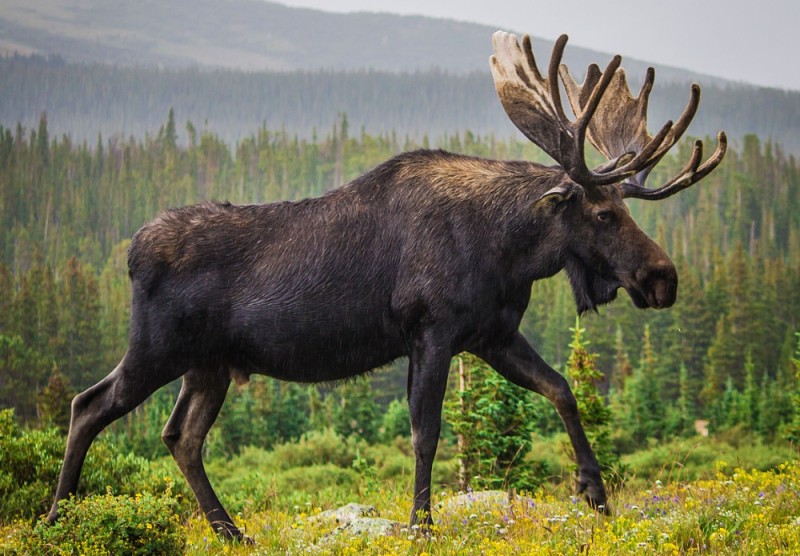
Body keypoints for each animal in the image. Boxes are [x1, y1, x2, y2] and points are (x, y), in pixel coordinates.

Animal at [47, 32, 728, 540]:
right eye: (604, 213)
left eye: (625, 208)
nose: (663, 278)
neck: (507, 251)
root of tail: (131, 252)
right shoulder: (432, 330)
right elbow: (426, 429)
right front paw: (422, 525)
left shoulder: (491, 335)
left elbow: (561, 388)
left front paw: (595, 492)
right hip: (158, 348)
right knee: (88, 405)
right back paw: (57, 518)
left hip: (208, 365)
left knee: (180, 437)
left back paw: (230, 530)